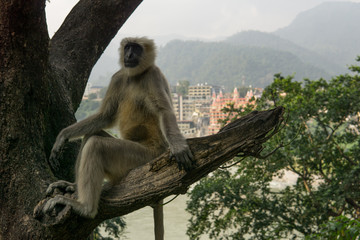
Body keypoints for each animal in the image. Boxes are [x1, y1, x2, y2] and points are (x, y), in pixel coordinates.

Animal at [43, 36, 195, 239]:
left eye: (136, 49)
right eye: (128, 48)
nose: (128, 55)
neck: (135, 76)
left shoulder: (153, 74)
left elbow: (164, 111)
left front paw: (178, 147)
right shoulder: (118, 77)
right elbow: (105, 116)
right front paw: (63, 136)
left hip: (142, 157)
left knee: (96, 144)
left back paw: (85, 208)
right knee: (92, 135)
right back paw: (75, 187)